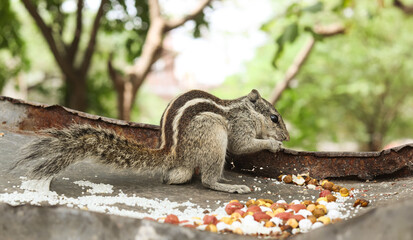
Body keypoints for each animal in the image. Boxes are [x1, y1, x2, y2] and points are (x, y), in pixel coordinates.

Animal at [13, 89, 290, 193]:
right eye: (274, 118)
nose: (287, 137)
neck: (246, 110)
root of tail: (173, 153)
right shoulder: (239, 127)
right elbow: (241, 145)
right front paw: (273, 144)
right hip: (213, 136)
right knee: (208, 180)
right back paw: (228, 186)